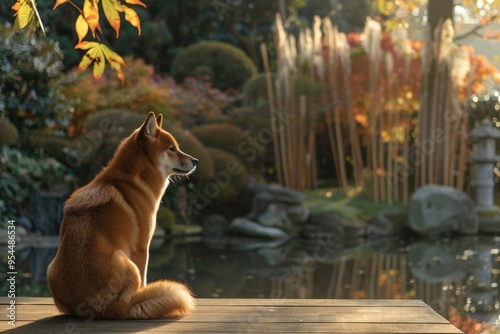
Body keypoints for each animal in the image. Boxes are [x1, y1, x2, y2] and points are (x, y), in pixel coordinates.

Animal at [47, 111, 197, 318]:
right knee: (131, 297)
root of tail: (100, 308)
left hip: (50, 269)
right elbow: (144, 278)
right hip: (128, 264)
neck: (133, 181)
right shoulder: (142, 248)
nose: (196, 161)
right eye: (172, 149)